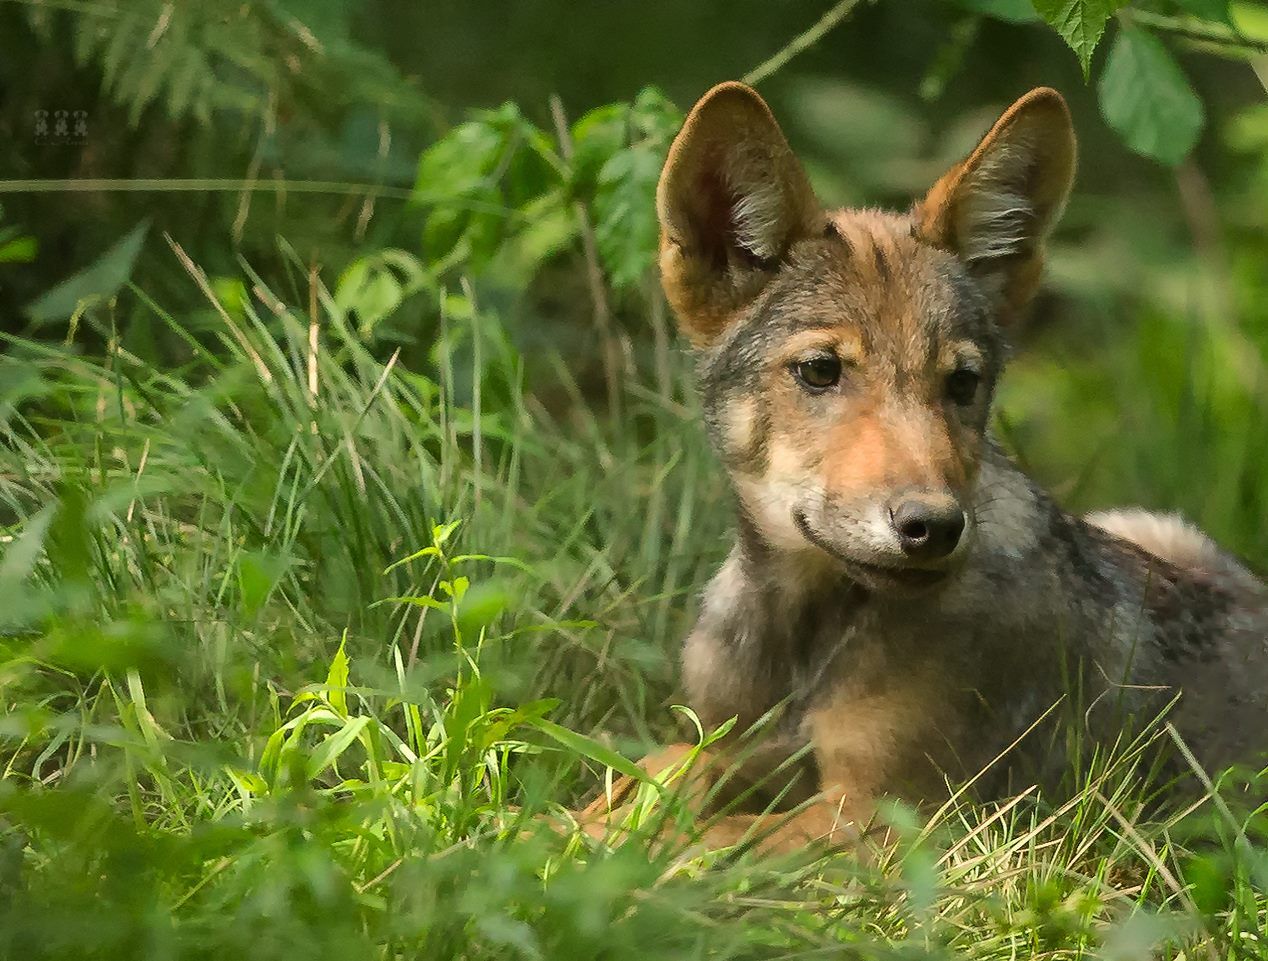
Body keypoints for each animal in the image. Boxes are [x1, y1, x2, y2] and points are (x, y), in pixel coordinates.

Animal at [581, 83, 1268, 851]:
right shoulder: (731, 741)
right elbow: (653, 770)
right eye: (819, 370)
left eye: (962, 383)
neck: (802, 642)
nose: (934, 527)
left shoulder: (888, 813)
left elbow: (709, 838)